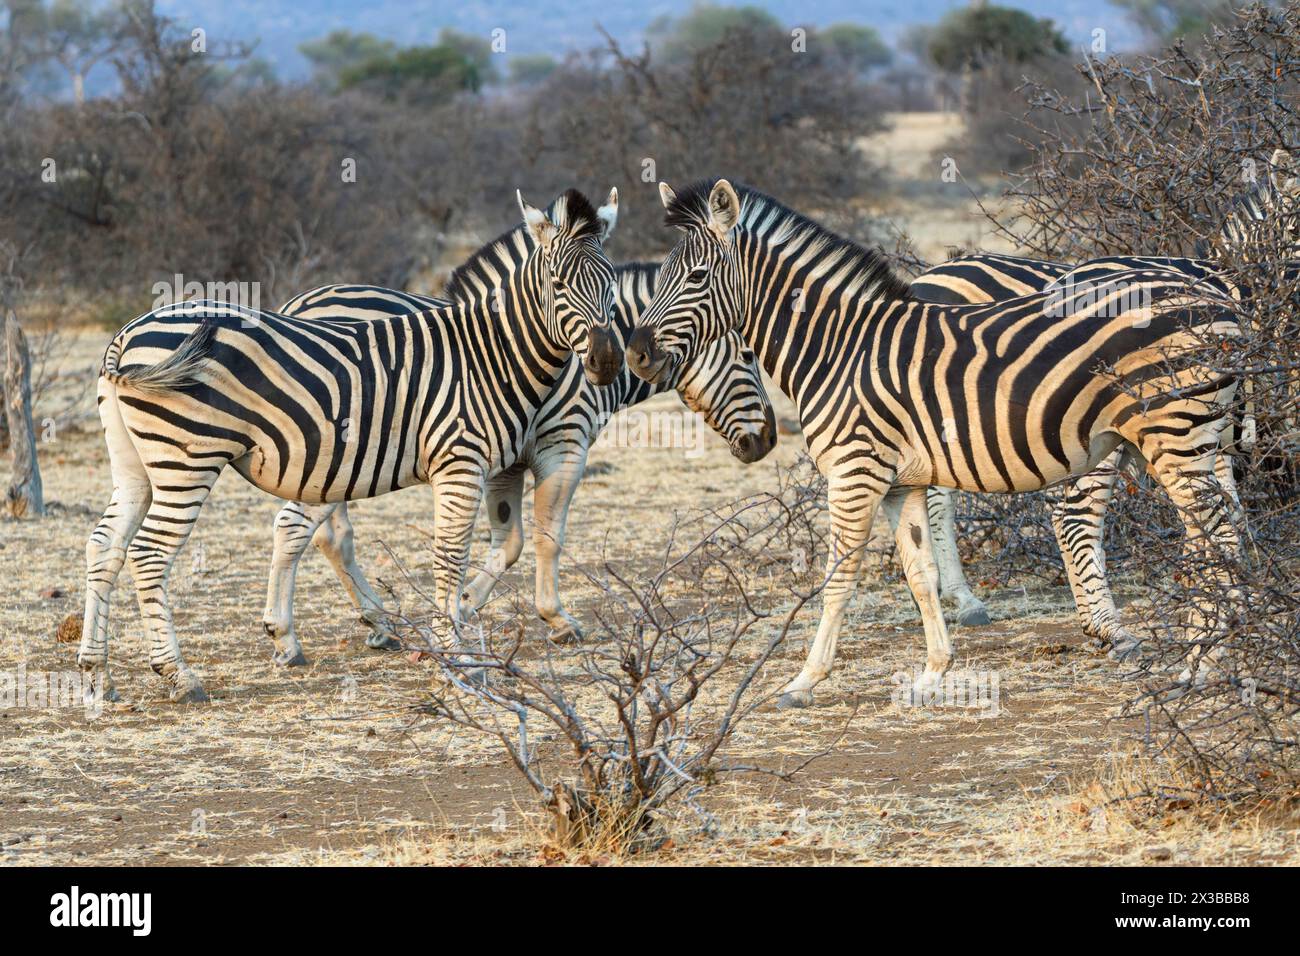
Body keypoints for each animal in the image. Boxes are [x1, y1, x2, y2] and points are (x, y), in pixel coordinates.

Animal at [79, 188, 625, 703]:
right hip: (187, 460)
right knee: (150, 553)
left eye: (611, 286)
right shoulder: (466, 460)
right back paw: (177, 674)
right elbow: (455, 555)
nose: (605, 362)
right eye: (558, 286)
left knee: (105, 545)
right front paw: (457, 657)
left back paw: (96, 676)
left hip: (135, 465)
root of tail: (127, 334)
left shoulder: (494, 463)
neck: (492, 354)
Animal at [260, 262, 775, 664]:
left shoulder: (504, 460)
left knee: (330, 536)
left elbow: (510, 542)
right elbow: (548, 538)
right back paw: (288, 637)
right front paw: (557, 619)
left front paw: (464, 605)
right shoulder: (563, 445)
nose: (769, 441)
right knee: (299, 528)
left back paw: (380, 623)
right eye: (750, 354)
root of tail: (298, 305)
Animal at [624, 179, 1245, 708]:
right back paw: (1221, 655)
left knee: (1217, 540)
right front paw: (932, 674)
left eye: (696, 277)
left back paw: (1205, 665)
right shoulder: (903, 483)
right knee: (1220, 533)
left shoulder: (854, 472)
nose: (635, 354)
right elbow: (920, 576)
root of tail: (1217, 296)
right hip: (1203, 440)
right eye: (663, 278)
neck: (836, 349)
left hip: (1176, 436)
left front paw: (803, 681)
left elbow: (837, 579)